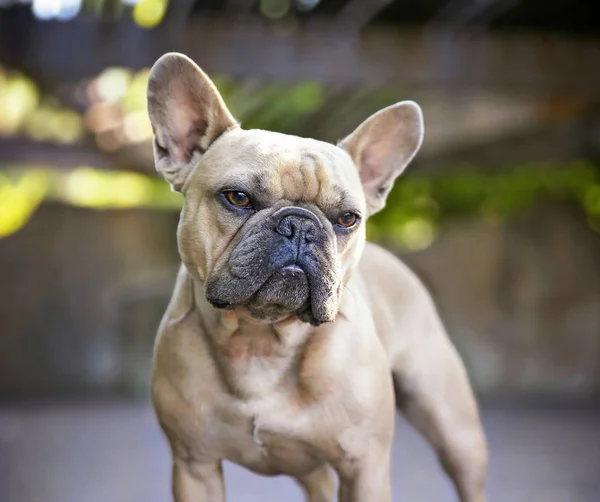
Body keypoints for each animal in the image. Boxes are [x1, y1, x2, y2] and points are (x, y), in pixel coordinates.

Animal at [145, 53, 488, 500]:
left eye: (347, 218)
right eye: (238, 197)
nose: (301, 225)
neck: (262, 341)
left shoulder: (365, 468)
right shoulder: (194, 466)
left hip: (452, 426)